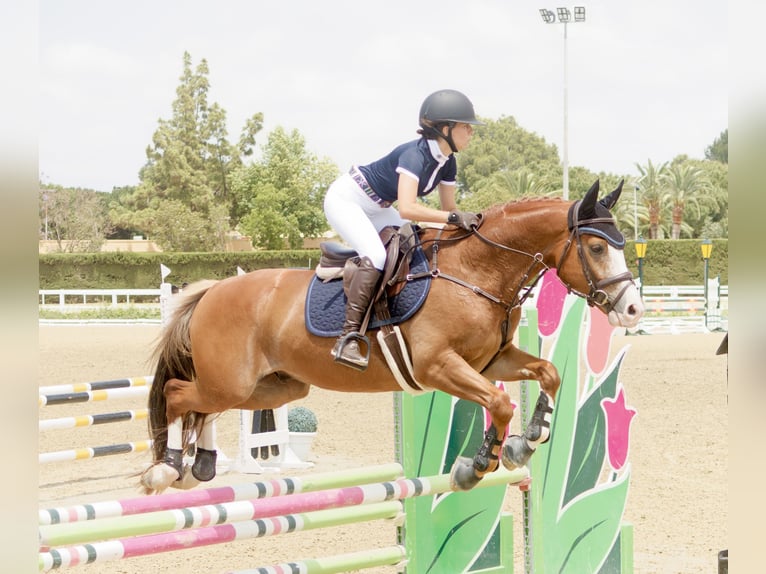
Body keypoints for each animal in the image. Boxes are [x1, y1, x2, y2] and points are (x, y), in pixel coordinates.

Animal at [141, 180, 644, 496]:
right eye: (597, 247)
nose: (633, 309)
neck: (476, 272)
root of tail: (212, 291)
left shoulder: (491, 361)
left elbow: (549, 372)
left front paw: (528, 438)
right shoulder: (438, 366)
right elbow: (500, 403)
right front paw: (477, 465)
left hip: (274, 386)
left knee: (202, 405)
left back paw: (199, 465)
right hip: (233, 380)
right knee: (177, 393)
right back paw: (166, 468)